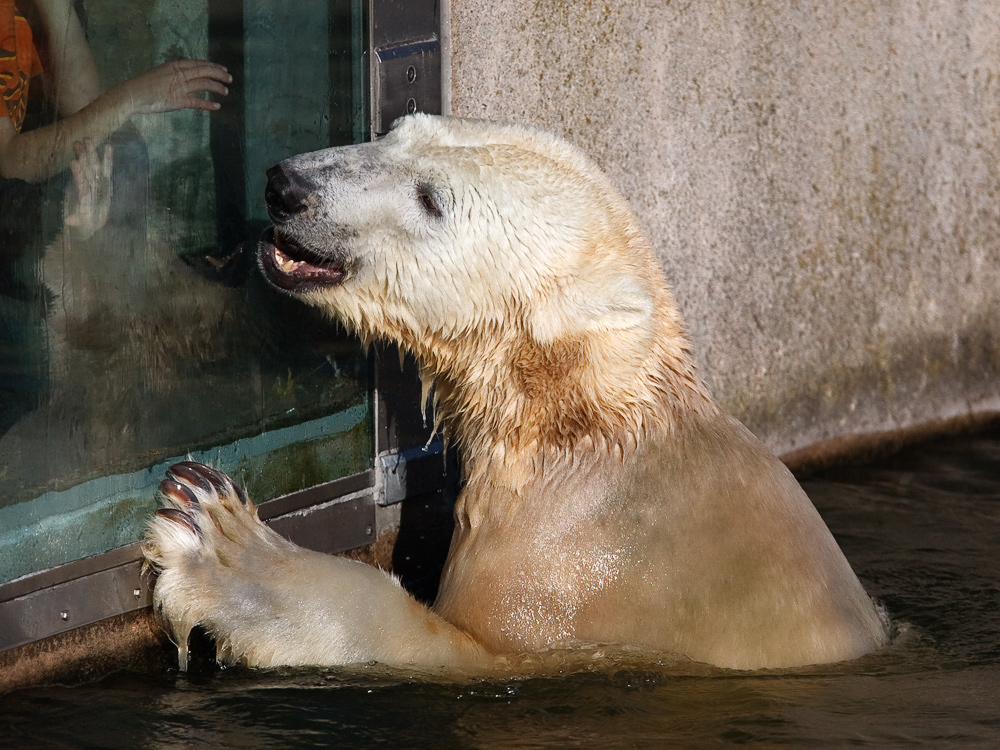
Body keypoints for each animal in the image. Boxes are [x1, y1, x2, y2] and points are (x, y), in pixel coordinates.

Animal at [143, 114, 892, 672]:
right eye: (394, 132)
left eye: (433, 199)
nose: (288, 185)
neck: (574, 429)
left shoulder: (567, 586)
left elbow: (451, 648)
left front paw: (216, 533)